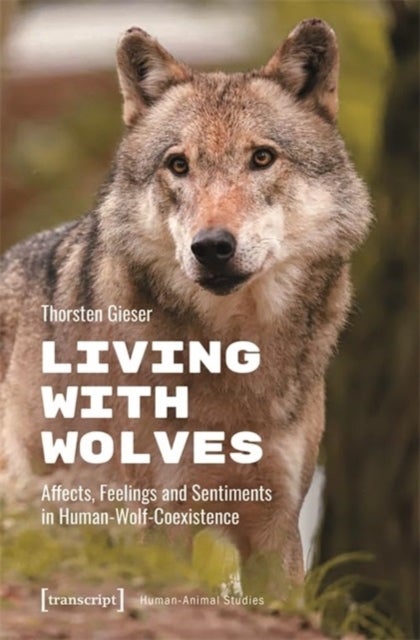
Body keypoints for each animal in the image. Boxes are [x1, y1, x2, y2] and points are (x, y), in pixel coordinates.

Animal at [0, 19, 371, 583]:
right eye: (178, 165)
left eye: (262, 158)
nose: (212, 247)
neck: (232, 356)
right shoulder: (160, 521)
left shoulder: (277, 526)